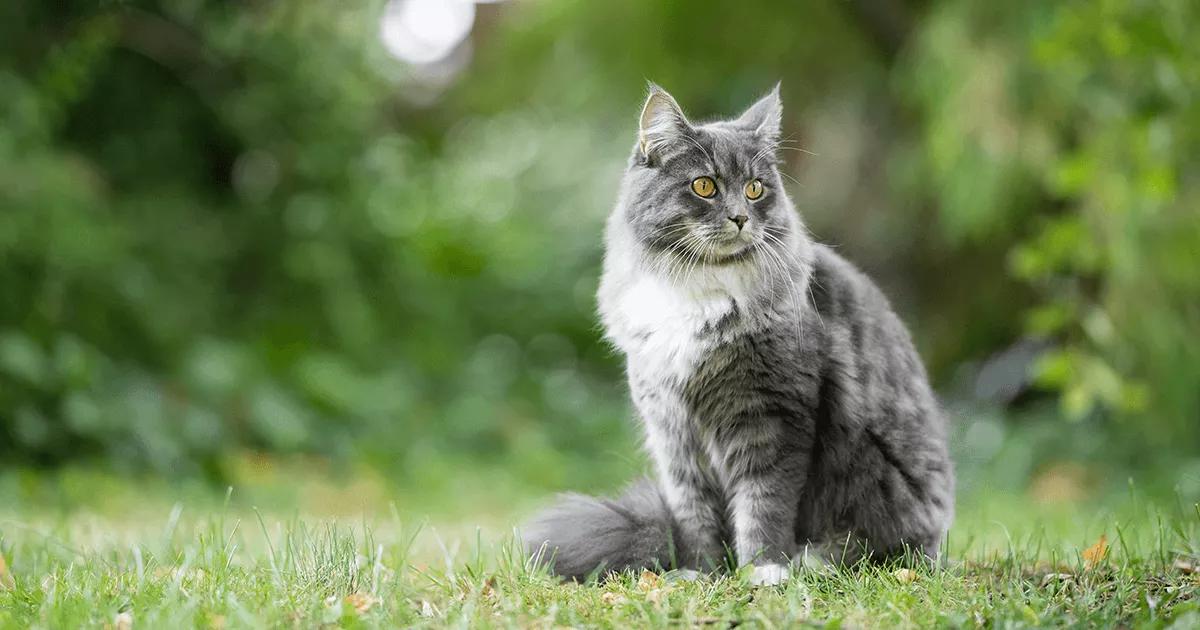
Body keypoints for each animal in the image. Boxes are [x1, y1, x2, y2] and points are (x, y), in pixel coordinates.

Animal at [525, 83, 955, 585]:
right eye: (704, 186)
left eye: (755, 189)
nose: (739, 218)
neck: (696, 288)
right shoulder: (674, 432)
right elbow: (694, 514)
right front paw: (703, 574)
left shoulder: (770, 417)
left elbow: (763, 503)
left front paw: (763, 569)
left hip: (874, 476)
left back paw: (815, 560)